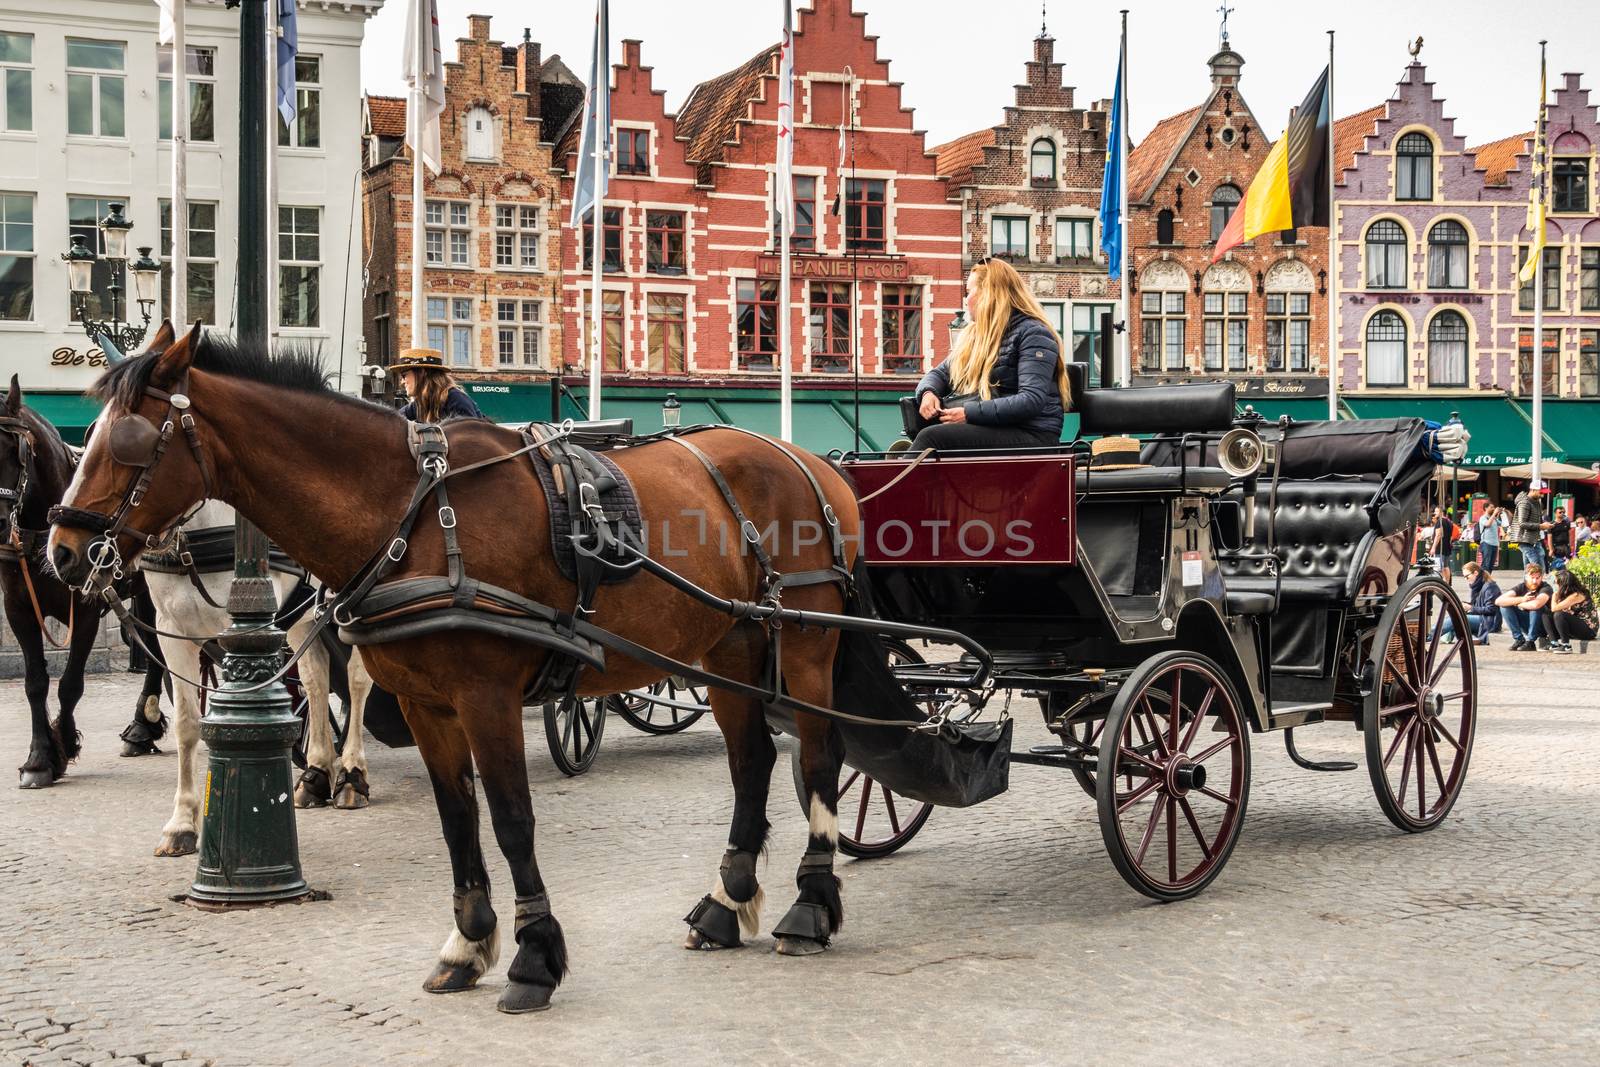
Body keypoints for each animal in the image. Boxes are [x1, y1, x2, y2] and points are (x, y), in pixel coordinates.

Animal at [0, 375, 167, 783]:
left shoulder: (88, 610)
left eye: (13, 450)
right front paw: (40, 756)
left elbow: (71, 685)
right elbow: (35, 682)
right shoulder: (17, 608)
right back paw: (144, 727)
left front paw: (63, 744)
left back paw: (143, 726)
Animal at [140, 502, 371, 857]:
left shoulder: (251, 631)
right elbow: (187, 725)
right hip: (306, 617)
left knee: (357, 680)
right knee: (315, 681)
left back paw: (351, 774)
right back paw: (316, 773)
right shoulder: (171, 630)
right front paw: (182, 824)